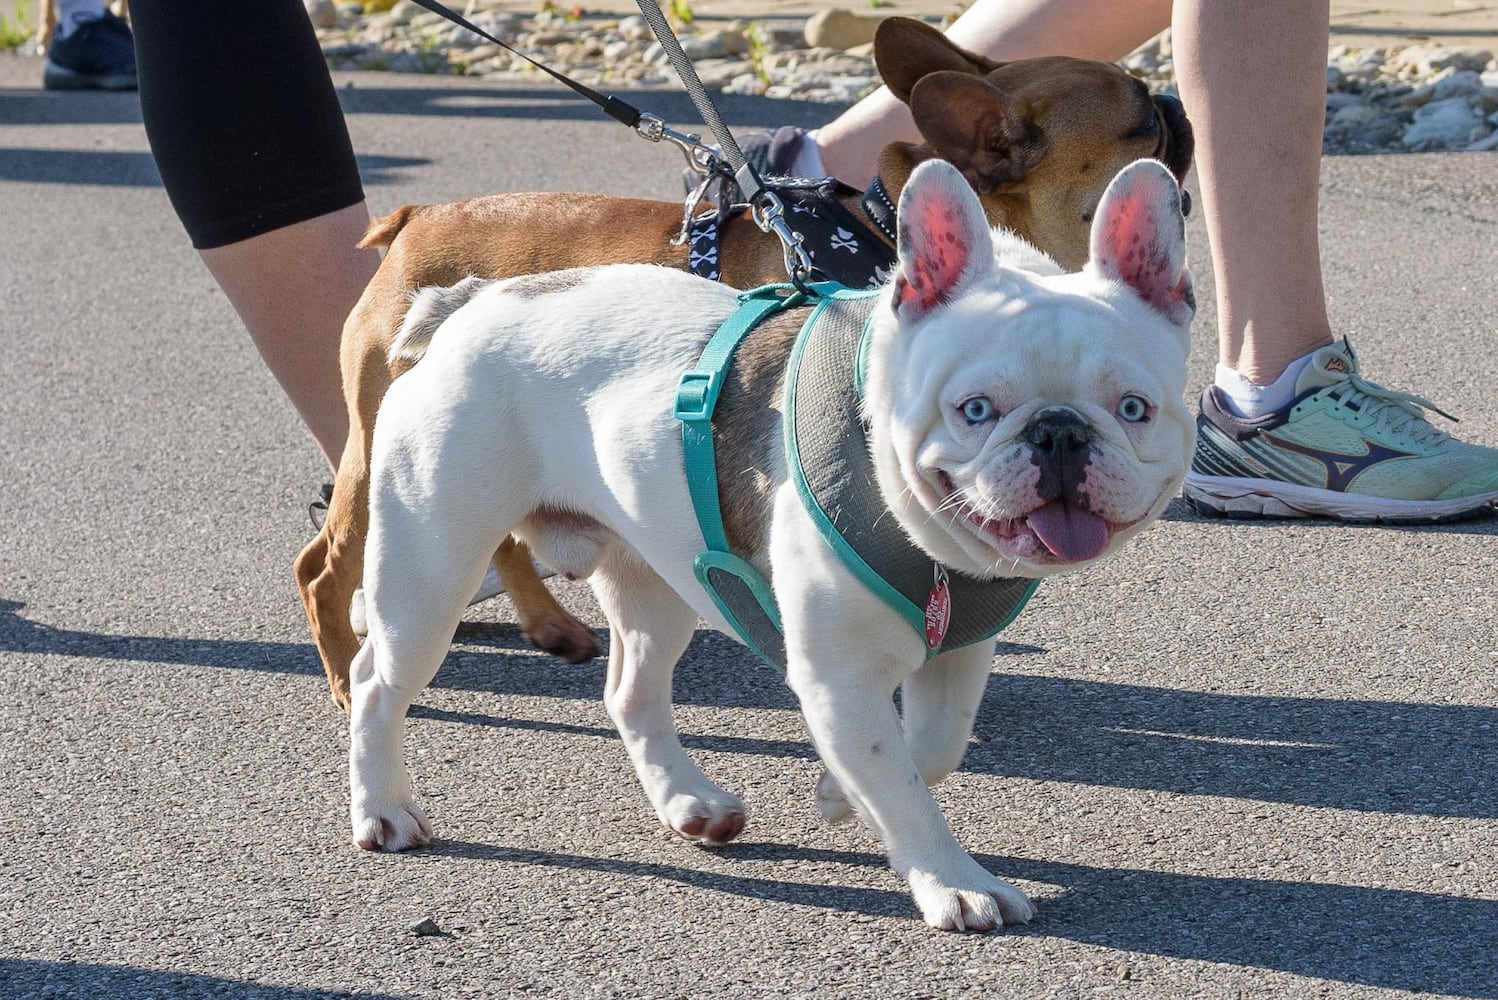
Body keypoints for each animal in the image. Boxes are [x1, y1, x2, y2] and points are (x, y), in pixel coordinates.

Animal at [295, 19, 1192, 715]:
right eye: (1140, 121)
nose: (1177, 103)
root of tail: (415, 220)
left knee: (507, 533)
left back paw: (550, 624)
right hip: (378, 460)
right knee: (324, 567)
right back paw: (346, 682)